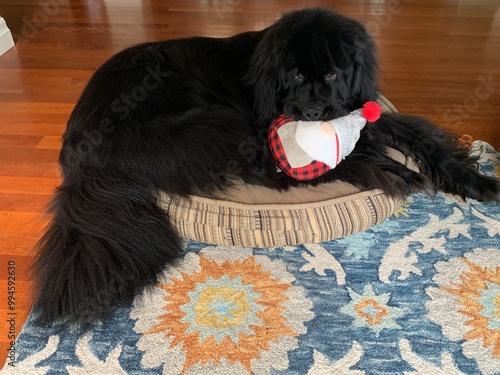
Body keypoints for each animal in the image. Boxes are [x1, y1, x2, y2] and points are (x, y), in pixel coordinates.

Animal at [32, 8, 500, 326]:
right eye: (294, 76)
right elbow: (345, 151)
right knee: (272, 171)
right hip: (215, 123)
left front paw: (475, 180)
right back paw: (393, 173)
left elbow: (419, 134)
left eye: (333, 75)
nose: (312, 111)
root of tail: (77, 152)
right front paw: (398, 170)